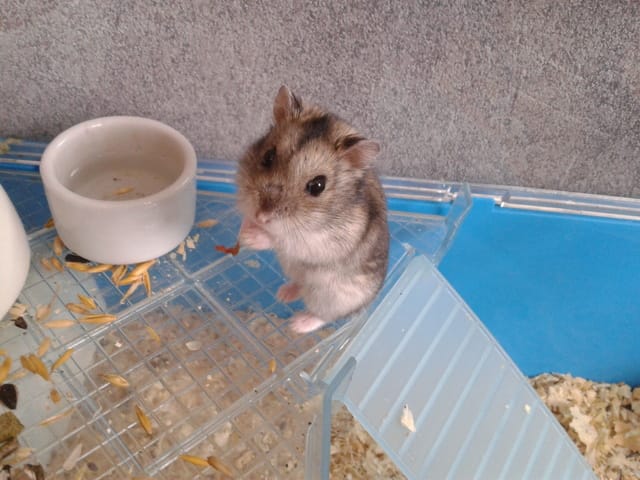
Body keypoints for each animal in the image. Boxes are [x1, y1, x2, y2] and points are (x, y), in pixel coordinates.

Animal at [236, 85, 389, 333]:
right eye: (268, 157)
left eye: (318, 186)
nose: (262, 216)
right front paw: (244, 230)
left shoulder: (319, 243)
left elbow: (284, 240)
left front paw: (251, 237)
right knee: (299, 284)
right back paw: (283, 294)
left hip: (331, 297)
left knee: (323, 315)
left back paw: (297, 324)